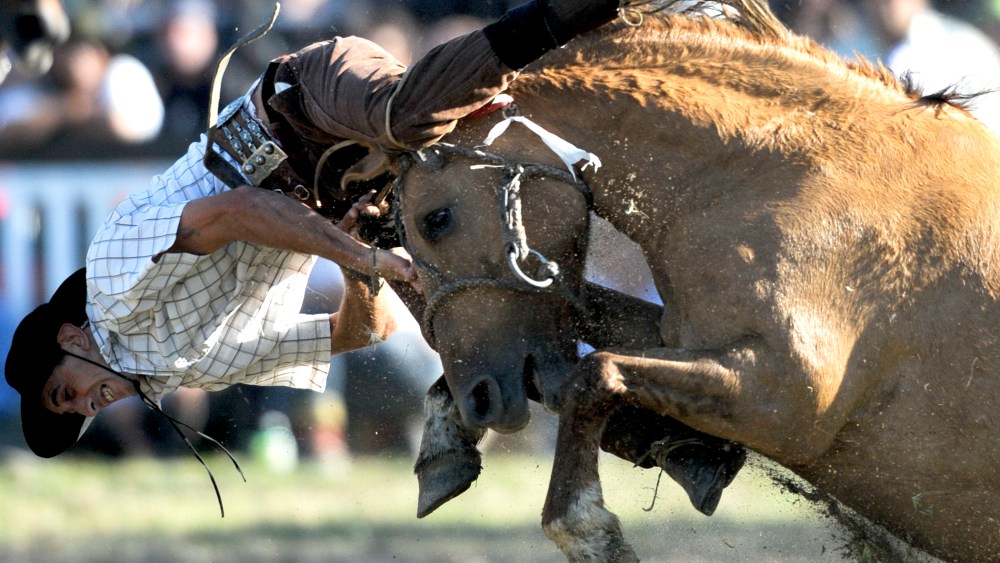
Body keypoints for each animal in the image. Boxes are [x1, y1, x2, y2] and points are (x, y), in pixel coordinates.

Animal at [384, 1, 1000, 561]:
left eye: (435, 219)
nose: (480, 399)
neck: (766, 171)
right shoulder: (682, 337)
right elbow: (592, 334)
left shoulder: (786, 396)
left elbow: (593, 373)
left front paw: (586, 530)